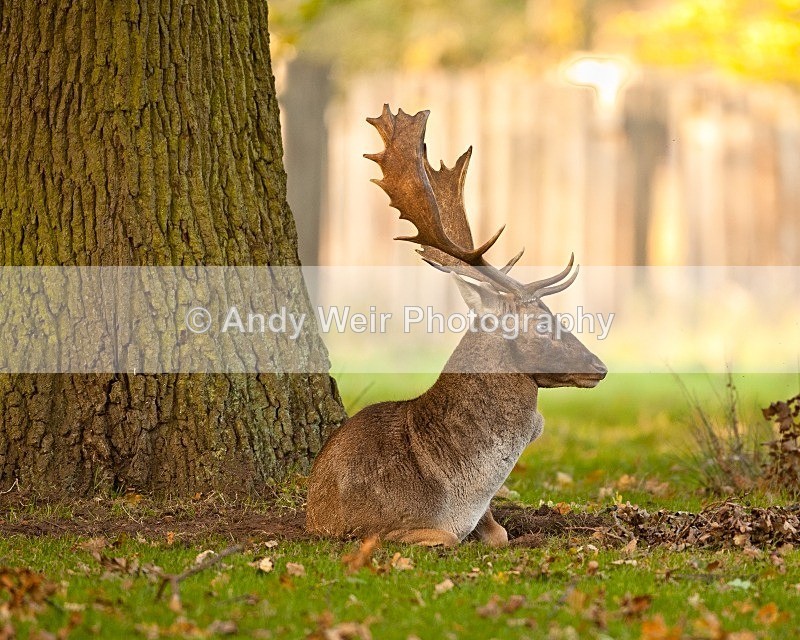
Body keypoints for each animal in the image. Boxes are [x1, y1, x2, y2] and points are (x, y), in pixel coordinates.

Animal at [305, 105, 607, 547]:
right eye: (542, 323)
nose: (599, 366)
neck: (458, 495)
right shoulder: (375, 530)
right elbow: (446, 538)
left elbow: (500, 534)